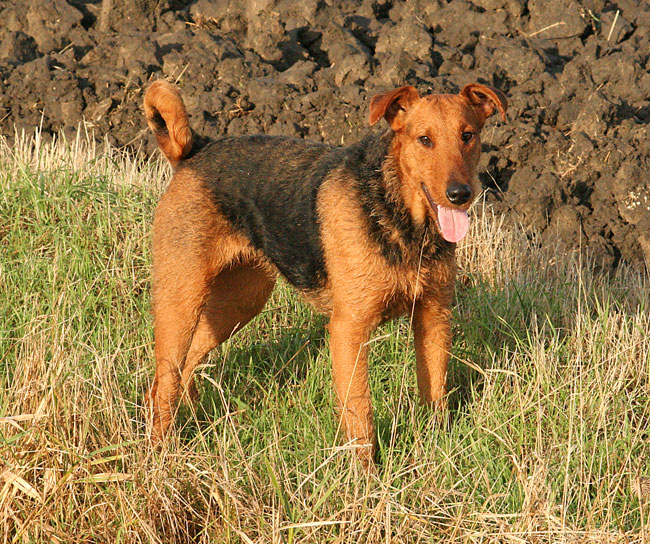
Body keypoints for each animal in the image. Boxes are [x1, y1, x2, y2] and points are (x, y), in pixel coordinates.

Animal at [143, 78, 506, 466]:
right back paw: (160, 453)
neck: (403, 221)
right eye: (424, 139)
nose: (460, 194)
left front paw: (436, 452)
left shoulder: (433, 315)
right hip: (181, 298)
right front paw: (365, 476)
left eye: (468, 135)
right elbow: (360, 414)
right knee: (164, 382)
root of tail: (195, 150)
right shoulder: (349, 329)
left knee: (184, 366)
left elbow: (434, 391)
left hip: (240, 300)